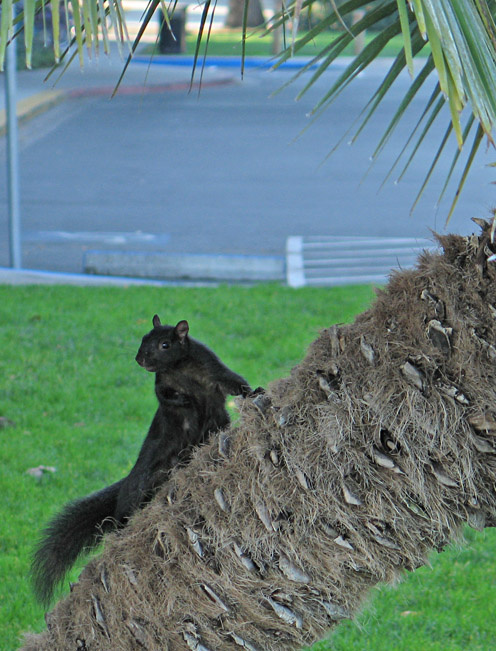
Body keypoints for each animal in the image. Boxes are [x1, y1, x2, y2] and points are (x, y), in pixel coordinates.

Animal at [31, 316, 250, 606]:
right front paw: (183, 398)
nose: (139, 359)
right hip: (141, 485)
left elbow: (232, 382)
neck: (179, 368)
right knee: (122, 517)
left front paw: (253, 392)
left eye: (165, 344)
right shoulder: (162, 384)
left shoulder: (211, 368)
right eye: (143, 339)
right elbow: (165, 395)